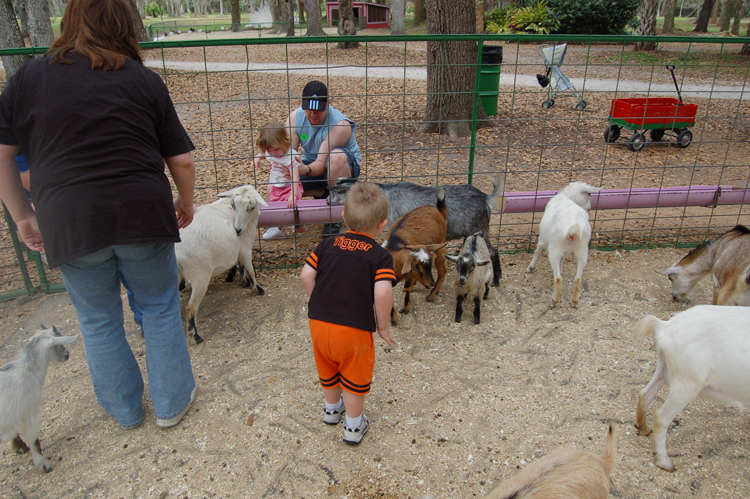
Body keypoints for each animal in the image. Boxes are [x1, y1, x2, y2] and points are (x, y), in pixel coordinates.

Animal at [0, 326, 77, 474]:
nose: (67, 354)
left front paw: (18, 446)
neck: (28, 370)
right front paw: (44, 464)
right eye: (59, 344)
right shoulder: (27, 412)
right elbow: (34, 440)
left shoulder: (13, 413)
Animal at [175, 186, 268, 346]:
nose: (237, 230)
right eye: (233, 205)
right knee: (190, 307)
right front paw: (257, 288)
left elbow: (241, 265)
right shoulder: (245, 246)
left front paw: (242, 281)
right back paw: (195, 336)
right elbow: (249, 267)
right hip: (200, 274)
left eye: (250, 207)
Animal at [388, 189, 446, 326]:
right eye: (417, 268)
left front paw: (406, 308)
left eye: (429, 266)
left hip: (440, 245)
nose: (431, 284)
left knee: (442, 271)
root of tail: (436, 209)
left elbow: (407, 288)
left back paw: (431, 295)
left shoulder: (409, 275)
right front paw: (393, 318)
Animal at [636, 304, 750, 472]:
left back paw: (643, 427)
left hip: (665, 369)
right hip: (687, 383)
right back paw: (664, 462)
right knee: (662, 417)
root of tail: (665, 326)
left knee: (645, 394)